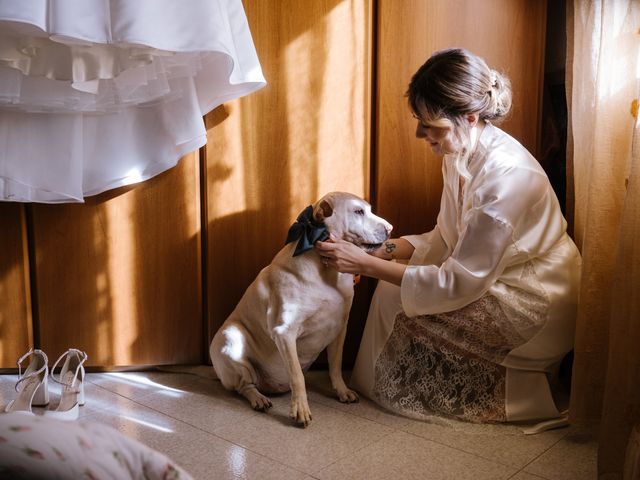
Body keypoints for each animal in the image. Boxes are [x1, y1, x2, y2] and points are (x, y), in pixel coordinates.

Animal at [210, 191, 392, 428]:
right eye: (358, 211)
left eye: (368, 209)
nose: (390, 229)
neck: (326, 270)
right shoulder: (284, 333)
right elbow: (297, 376)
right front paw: (300, 410)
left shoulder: (339, 328)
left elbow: (335, 366)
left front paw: (342, 391)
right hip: (230, 337)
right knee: (245, 385)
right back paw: (258, 399)